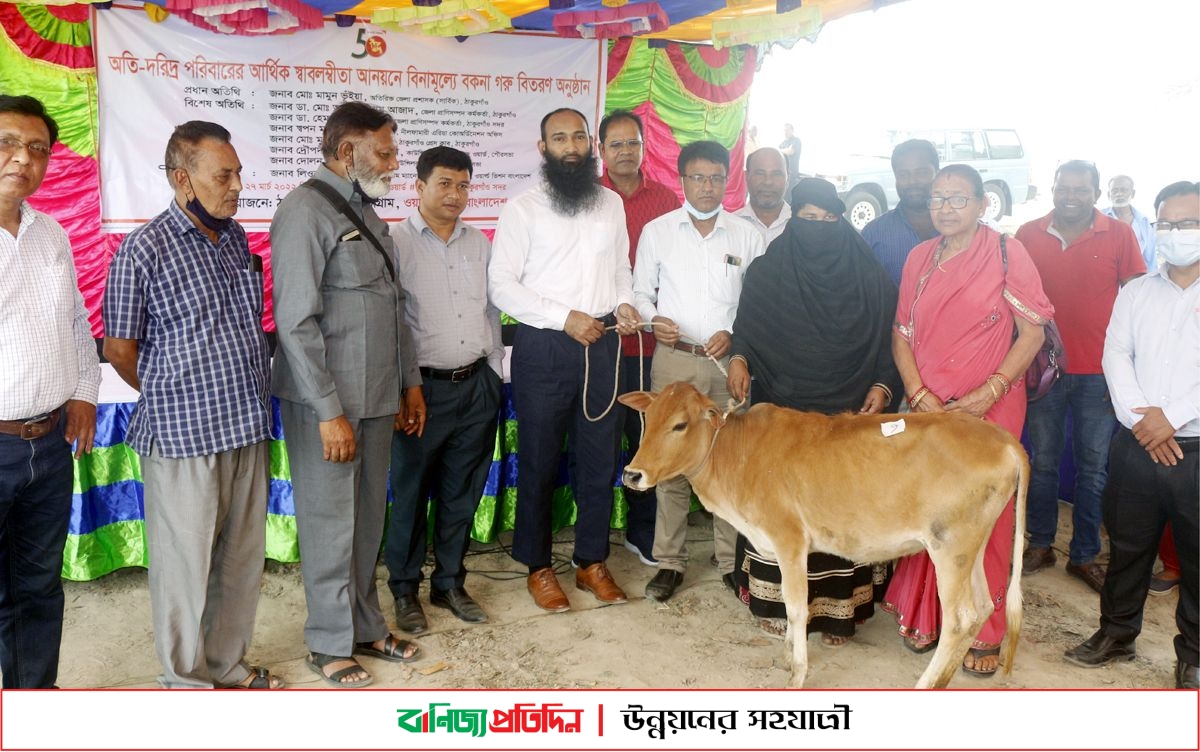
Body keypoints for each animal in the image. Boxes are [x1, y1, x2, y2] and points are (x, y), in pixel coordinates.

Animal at [619, 381, 1032, 690]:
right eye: (647, 418)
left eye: (680, 425)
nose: (632, 474)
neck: (735, 455)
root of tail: (1003, 440)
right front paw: (789, 652)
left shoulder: (789, 539)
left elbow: (797, 606)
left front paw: (797, 671)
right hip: (970, 547)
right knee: (983, 607)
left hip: (950, 547)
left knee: (960, 618)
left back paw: (925, 684)